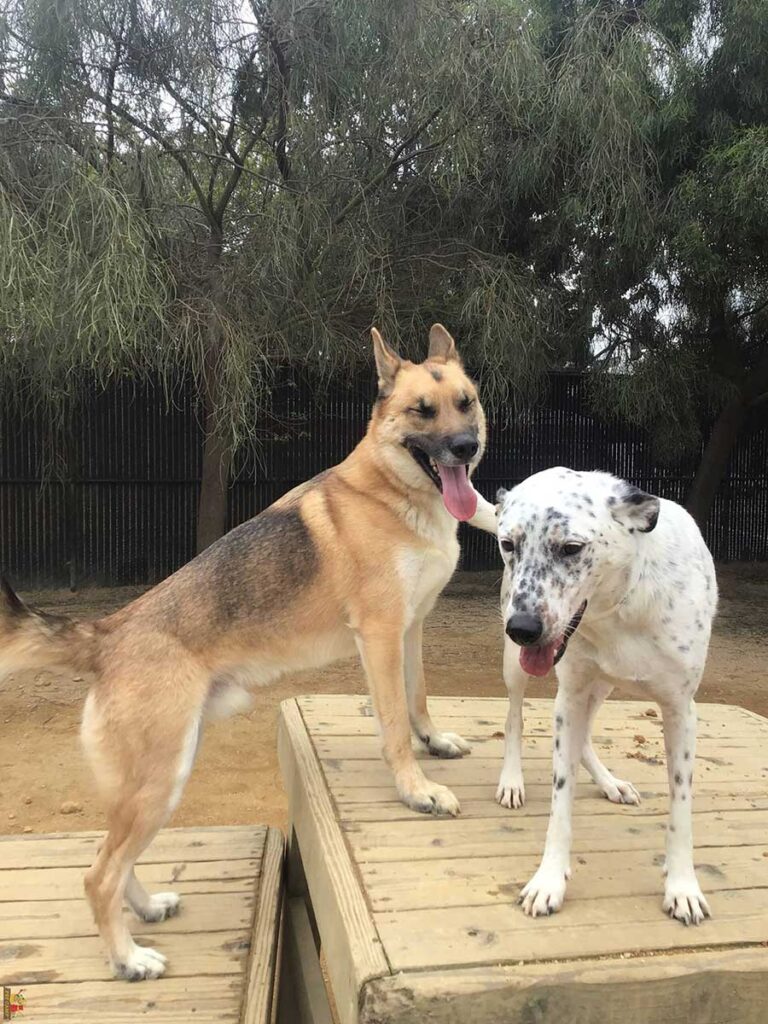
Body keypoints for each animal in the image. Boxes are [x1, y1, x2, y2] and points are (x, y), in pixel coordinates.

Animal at [0, 323, 499, 978]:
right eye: (422, 411)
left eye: (466, 403)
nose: (466, 447)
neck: (392, 493)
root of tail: (109, 632)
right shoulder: (381, 635)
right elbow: (393, 725)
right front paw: (416, 791)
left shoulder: (412, 628)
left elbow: (419, 702)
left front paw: (434, 742)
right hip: (161, 780)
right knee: (97, 876)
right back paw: (129, 959)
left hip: (157, 781)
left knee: (112, 859)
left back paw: (147, 909)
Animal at [495, 468, 720, 925]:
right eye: (508, 544)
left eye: (571, 548)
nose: (523, 628)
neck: (619, 609)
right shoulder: (569, 695)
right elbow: (560, 801)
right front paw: (549, 880)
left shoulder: (681, 710)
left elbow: (681, 807)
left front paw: (682, 886)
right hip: (522, 667)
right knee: (514, 717)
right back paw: (512, 781)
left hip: (600, 687)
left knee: (583, 740)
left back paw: (611, 783)